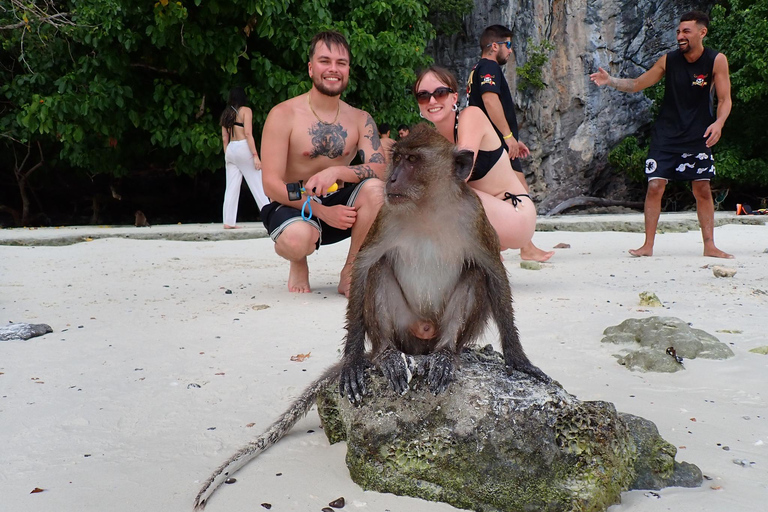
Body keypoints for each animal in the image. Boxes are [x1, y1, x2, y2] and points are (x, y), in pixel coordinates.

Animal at [195, 123, 548, 508]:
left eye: (413, 161)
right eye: (397, 158)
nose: (390, 178)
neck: (427, 205)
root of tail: (419, 345)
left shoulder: (476, 216)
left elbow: (493, 273)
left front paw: (519, 359)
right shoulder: (386, 214)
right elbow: (364, 269)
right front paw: (352, 361)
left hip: (435, 331)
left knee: (472, 275)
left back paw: (445, 354)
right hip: (404, 329)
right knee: (381, 271)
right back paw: (387, 355)